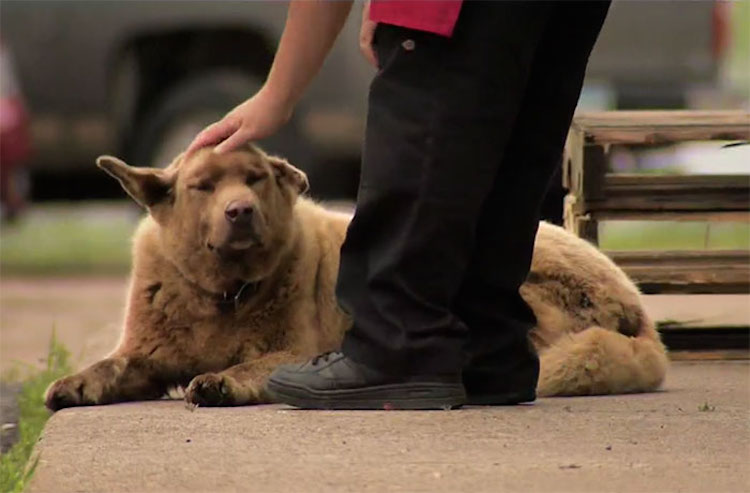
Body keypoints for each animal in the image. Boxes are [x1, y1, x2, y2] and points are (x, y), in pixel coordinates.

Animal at [44, 145, 668, 411]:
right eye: (203, 186)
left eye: (254, 178)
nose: (240, 211)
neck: (221, 295)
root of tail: (639, 313)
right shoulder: (146, 355)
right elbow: (112, 367)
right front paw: (73, 384)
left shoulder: (296, 350)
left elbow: (249, 367)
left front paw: (221, 381)